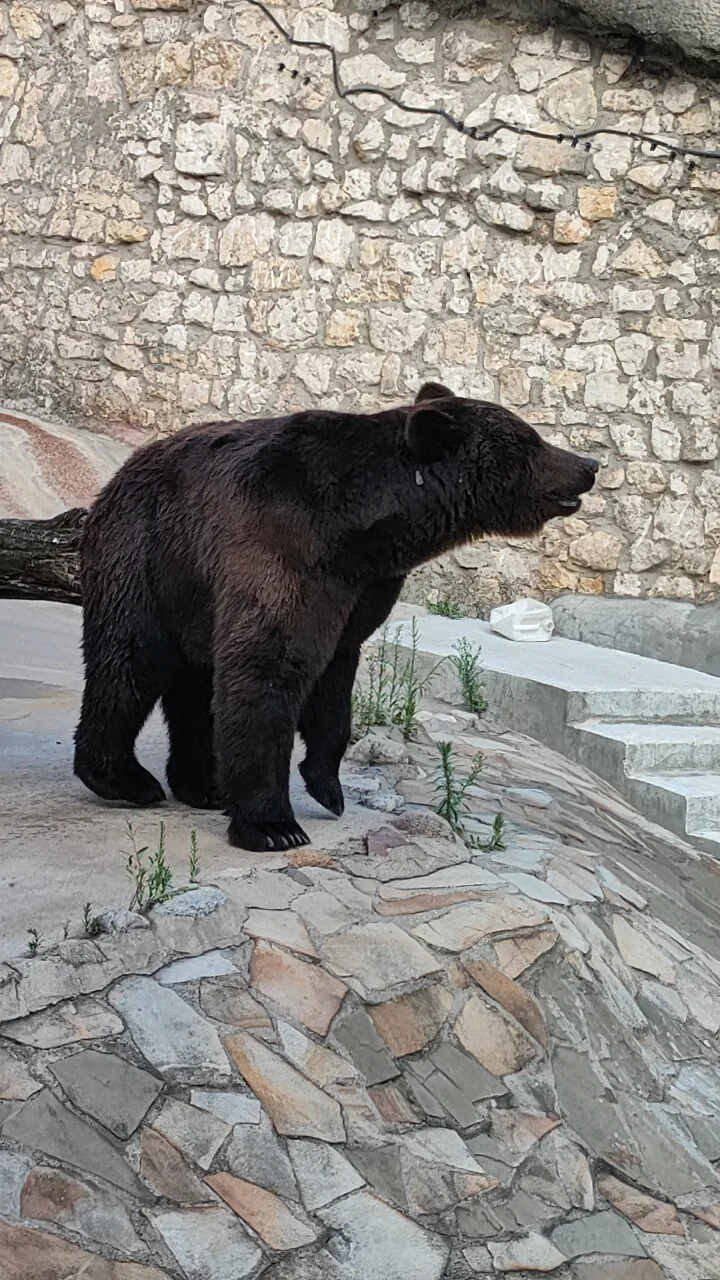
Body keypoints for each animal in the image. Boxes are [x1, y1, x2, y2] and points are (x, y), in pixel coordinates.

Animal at [74, 383, 597, 852]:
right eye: (530, 440)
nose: (589, 465)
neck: (366, 529)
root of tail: (120, 472)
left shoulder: (360, 589)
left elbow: (333, 680)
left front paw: (327, 786)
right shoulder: (285, 550)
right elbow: (267, 667)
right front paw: (273, 825)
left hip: (189, 589)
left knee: (194, 682)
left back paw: (203, 785)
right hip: (145, 556)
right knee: (130, 661)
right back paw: (124, 778)